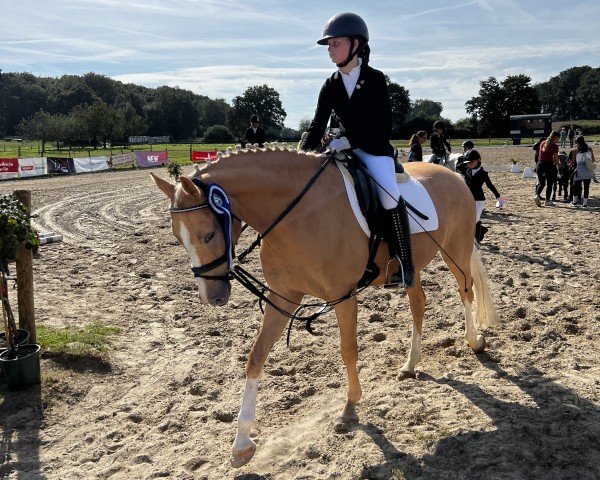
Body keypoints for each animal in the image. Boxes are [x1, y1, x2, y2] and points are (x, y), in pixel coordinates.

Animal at [150, 148, 496, 466]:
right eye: (177, 237)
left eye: (209, 235)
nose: (213, 297)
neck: (297, 213)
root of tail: (453, 174)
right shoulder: (282, 296)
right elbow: (256, 357)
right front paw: (241, 444)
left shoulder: (344, 296)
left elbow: (348, 350)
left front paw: (350, 409)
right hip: (411, 267)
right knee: (419, 304)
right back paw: (410, 364)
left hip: (455, 250)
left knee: (465, 289)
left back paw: (474, 341)